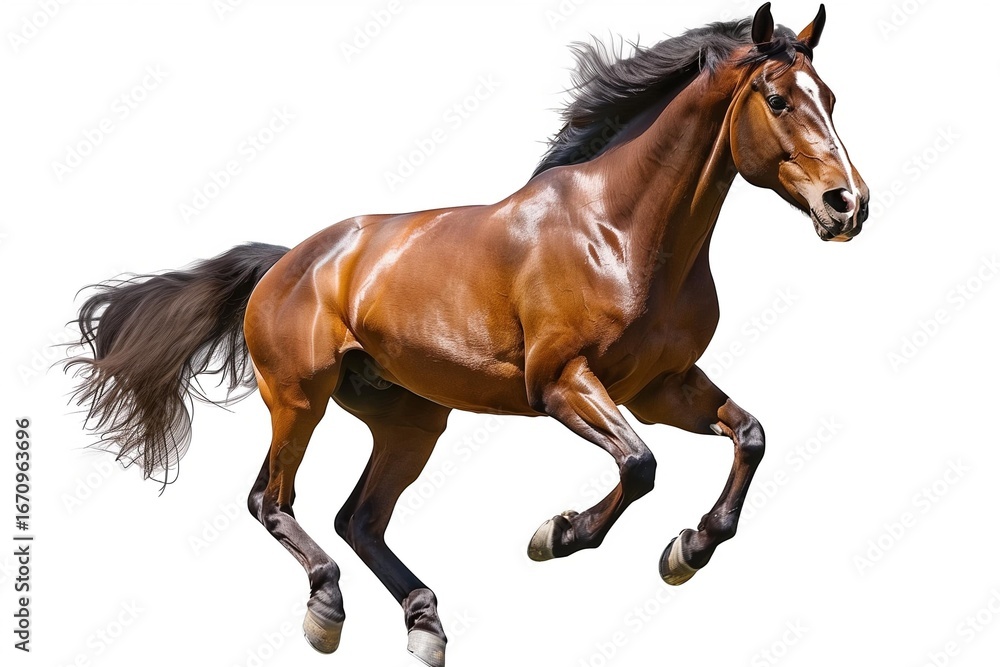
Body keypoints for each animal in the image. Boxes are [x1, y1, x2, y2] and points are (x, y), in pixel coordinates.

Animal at [64, 4, 868, 666]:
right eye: (777, 99)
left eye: (830, 98)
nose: (848, 204)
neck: (619, 230)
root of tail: (290, 259)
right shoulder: (562, 383)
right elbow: (640, 465)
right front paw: (558, 534)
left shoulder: (660, 387)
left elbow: (750, 435)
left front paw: (689, 547)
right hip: (299, 399)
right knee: (273, 500)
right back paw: (327, 608)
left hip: (411, 418)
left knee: (359, 517)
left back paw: (424, 623)